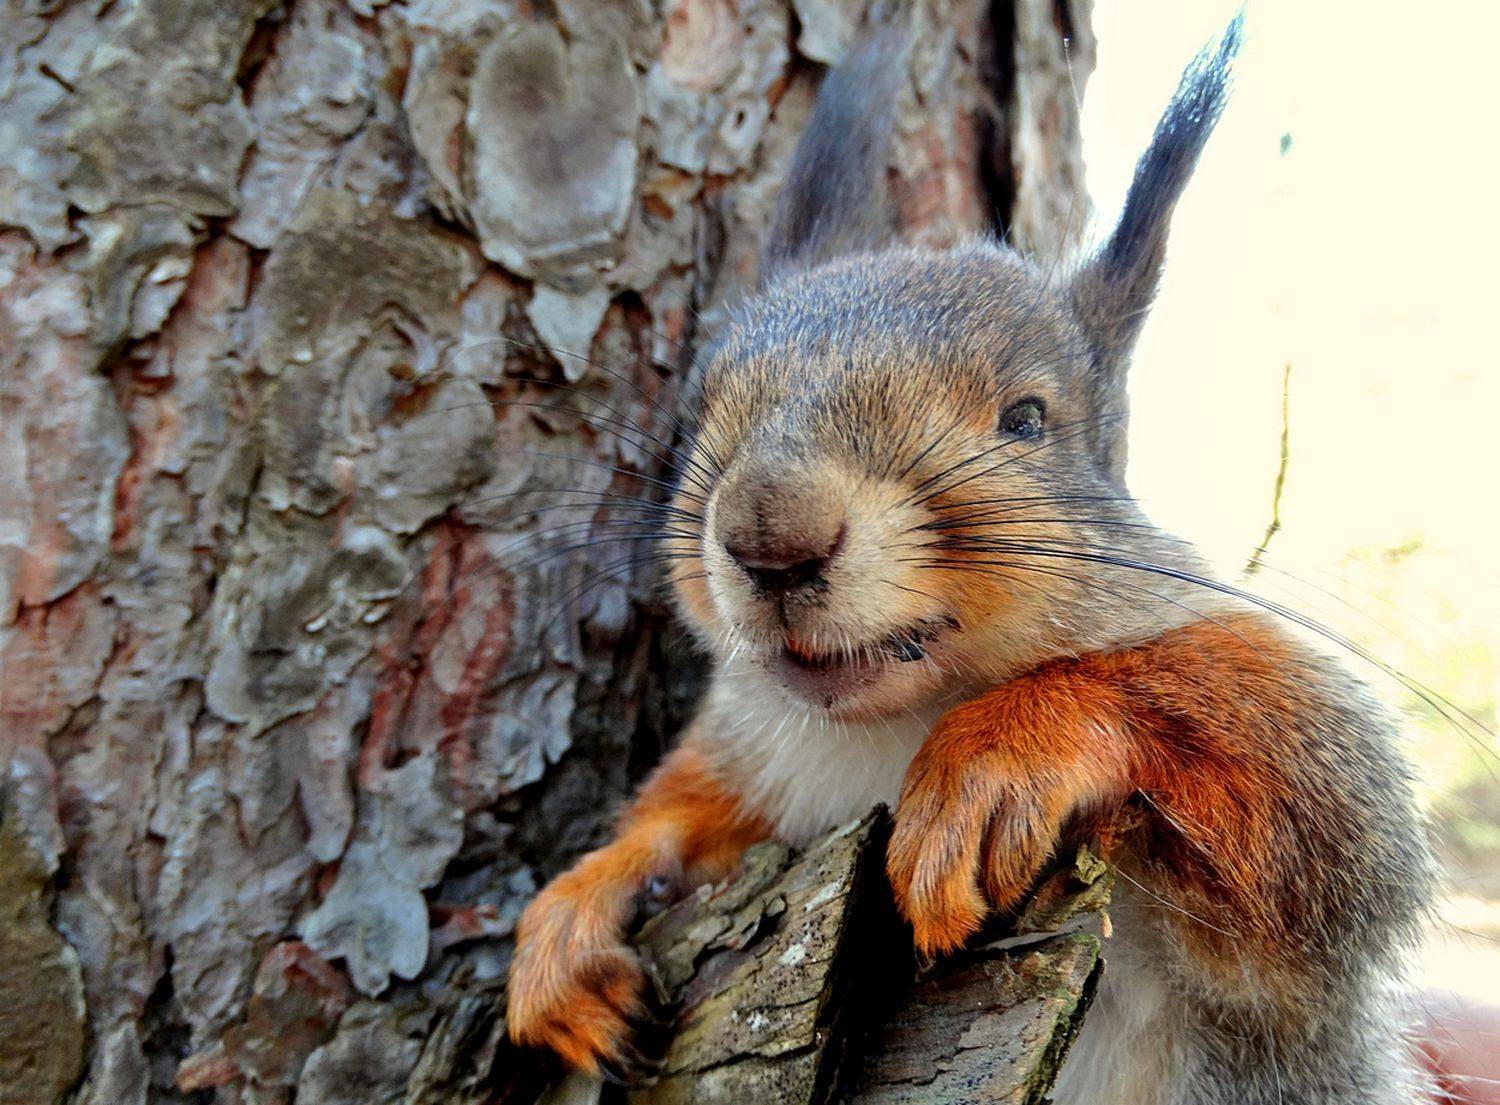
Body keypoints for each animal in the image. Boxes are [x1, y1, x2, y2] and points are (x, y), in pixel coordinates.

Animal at [505, 13, 1437, 1104]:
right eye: (700, 410)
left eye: (1027, 419)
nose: (770, 536)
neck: (887, 724)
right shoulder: (755, 747)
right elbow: (685, 802)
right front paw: (577, 905)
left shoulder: (1292, 932)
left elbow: (1320, 806)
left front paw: (994, 757)